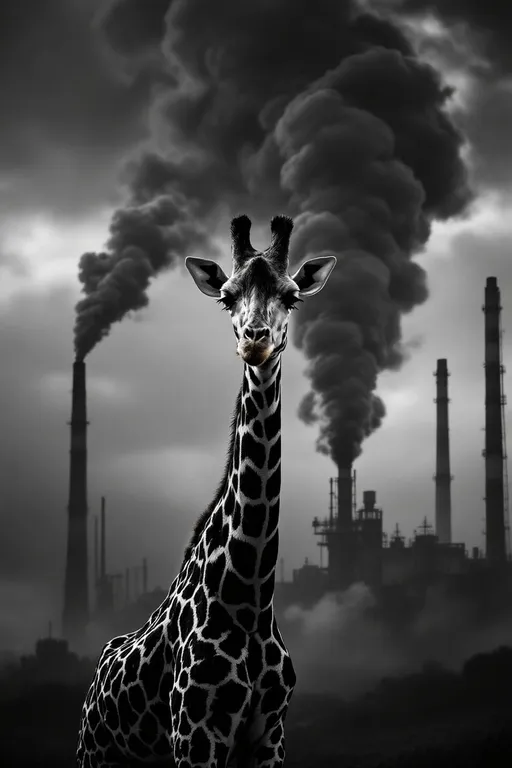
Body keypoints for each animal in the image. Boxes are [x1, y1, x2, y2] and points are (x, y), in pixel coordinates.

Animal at [76, 214, 336, 768]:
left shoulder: (271, 738)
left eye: (291, 297)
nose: (256, 338)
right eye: (226, 296)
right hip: (95, 754)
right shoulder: (195, 734)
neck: (249, 599)